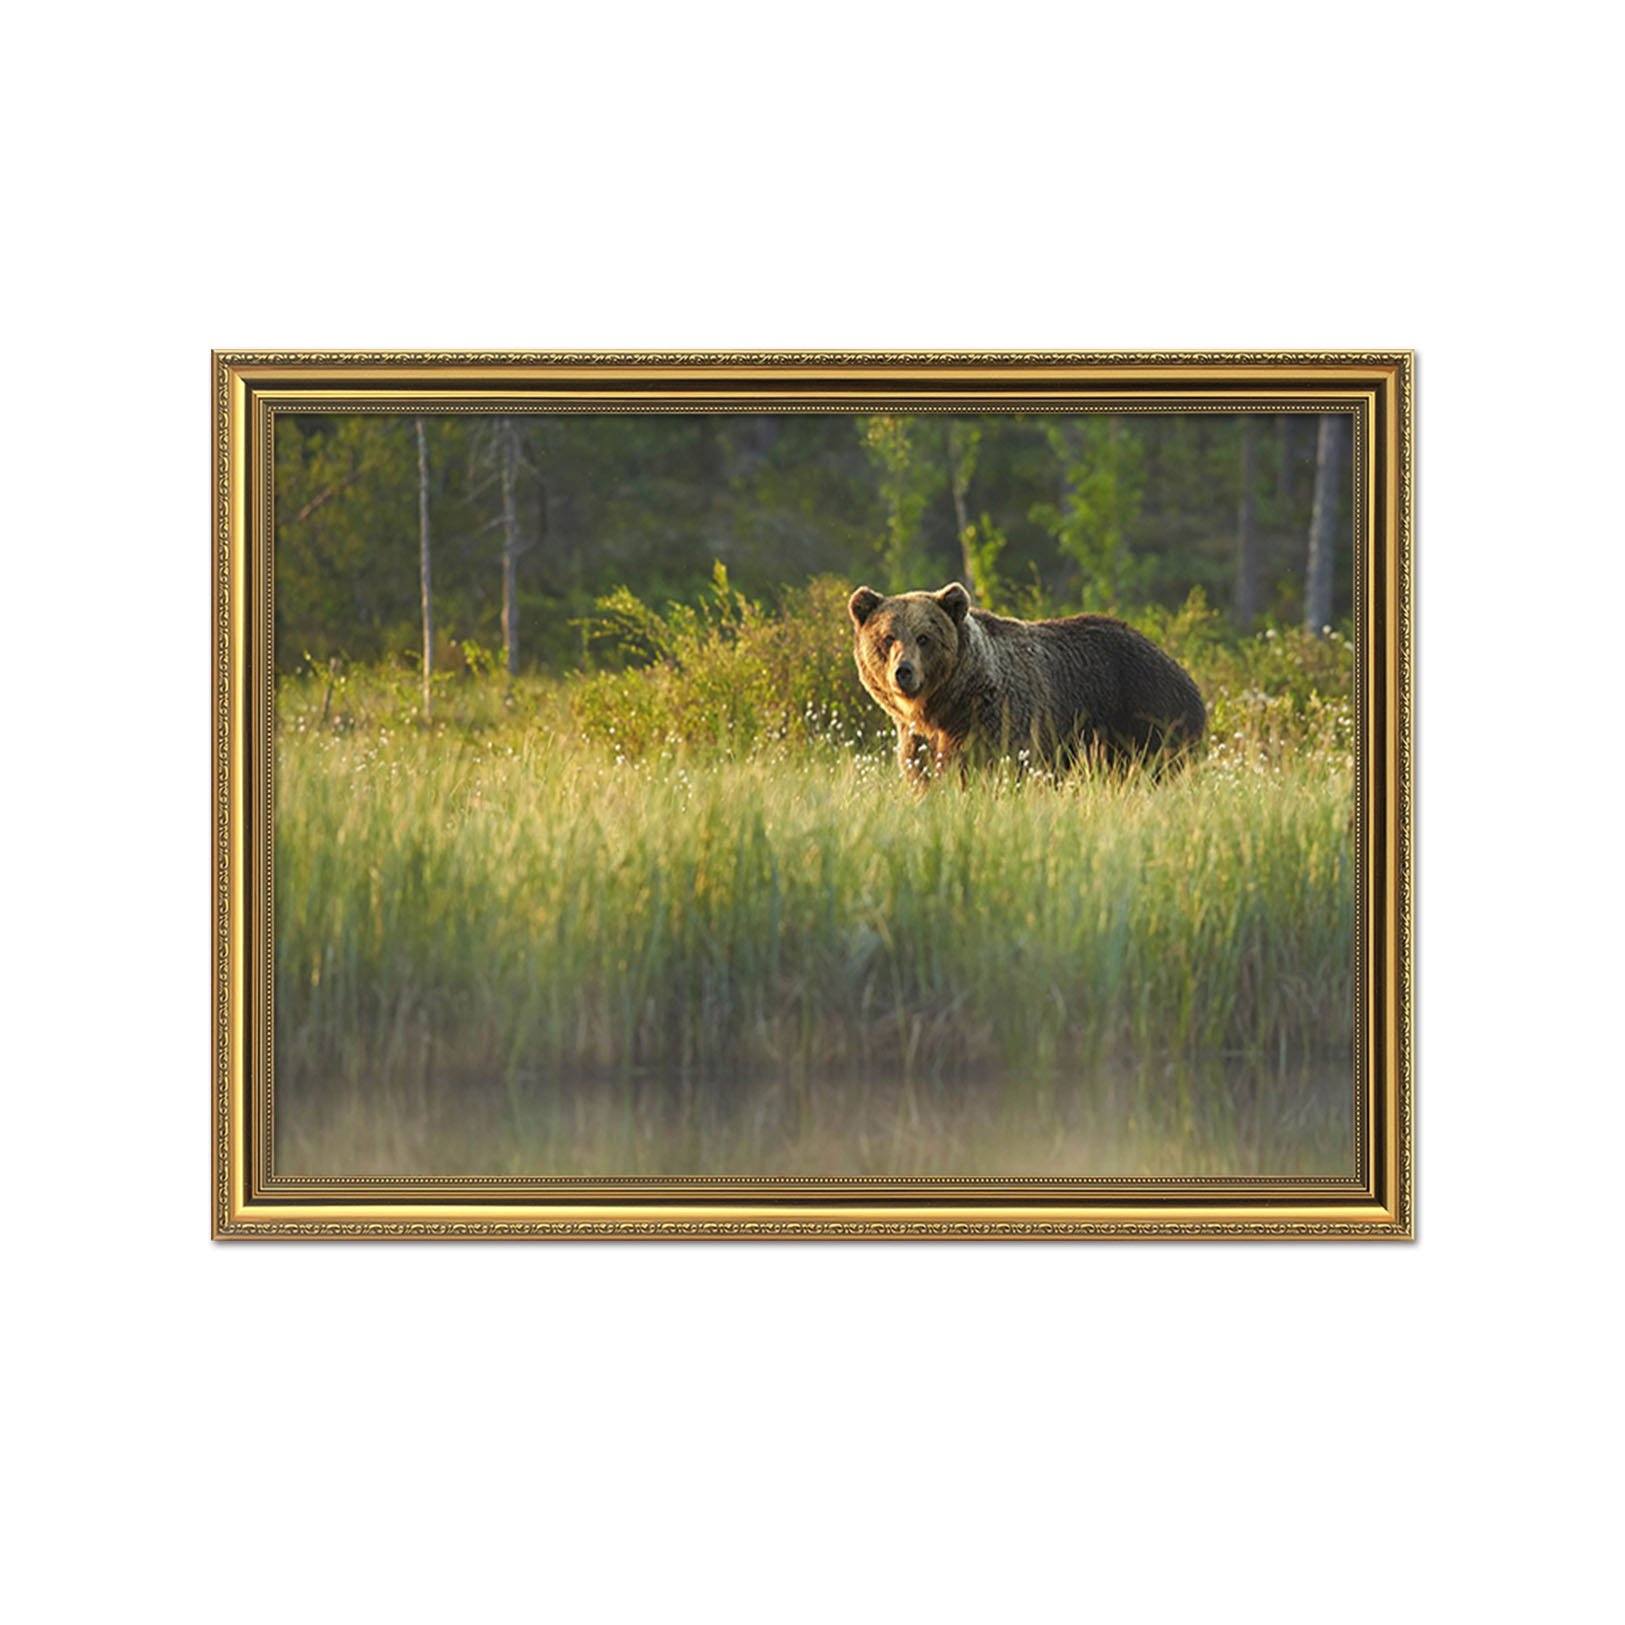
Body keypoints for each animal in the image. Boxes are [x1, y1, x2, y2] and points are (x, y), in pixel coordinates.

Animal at [848, 581, 1205, 784]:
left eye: (924, 638)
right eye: (887, 637)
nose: (903, 671)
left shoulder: (998, 720)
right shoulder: (918, 738)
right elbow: (923, 775)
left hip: (1148, 715)